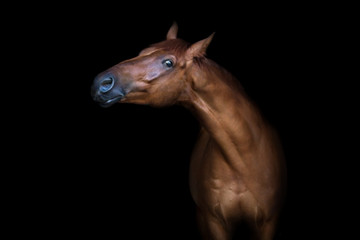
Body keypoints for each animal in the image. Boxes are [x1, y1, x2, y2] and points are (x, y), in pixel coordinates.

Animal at [92, 23, 286, 240]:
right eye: (142, 52)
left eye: (168, 63)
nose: (101, 83)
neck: (243, 159)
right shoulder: (213, 222)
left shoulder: (268, 223)